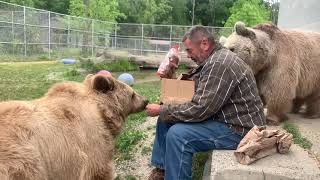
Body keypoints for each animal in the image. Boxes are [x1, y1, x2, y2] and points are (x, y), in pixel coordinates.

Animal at [0, 74, 148, 179]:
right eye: (132, 93)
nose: (146, 101)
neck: (101, 112)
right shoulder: (91, 141)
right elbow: (99, 171)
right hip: (23, 162)